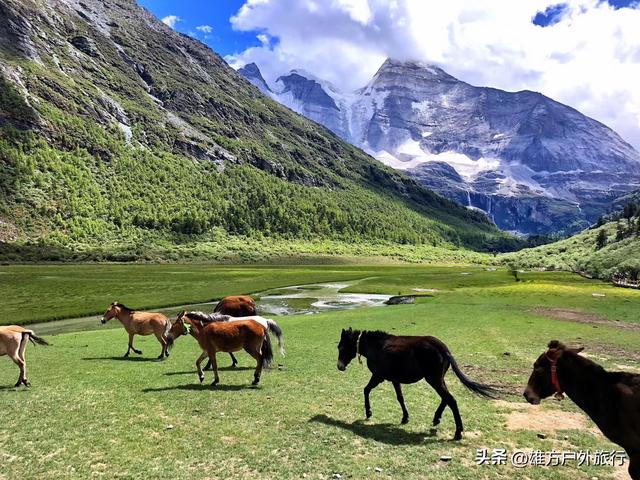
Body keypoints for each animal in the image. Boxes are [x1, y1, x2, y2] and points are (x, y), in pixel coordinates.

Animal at [338, 328, 498, 440]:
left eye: (341, 347)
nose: (339, 367)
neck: (377, 347)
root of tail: (443, 349)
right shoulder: (394, 379)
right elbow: (400, 398)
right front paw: (405, 418)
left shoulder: (378, 376)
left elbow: (366, 390)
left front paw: (368, 412)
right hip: (438, 379)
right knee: (446, 398)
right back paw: (436, 419)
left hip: (433, 379)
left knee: (450, 400)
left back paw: (458, 432)